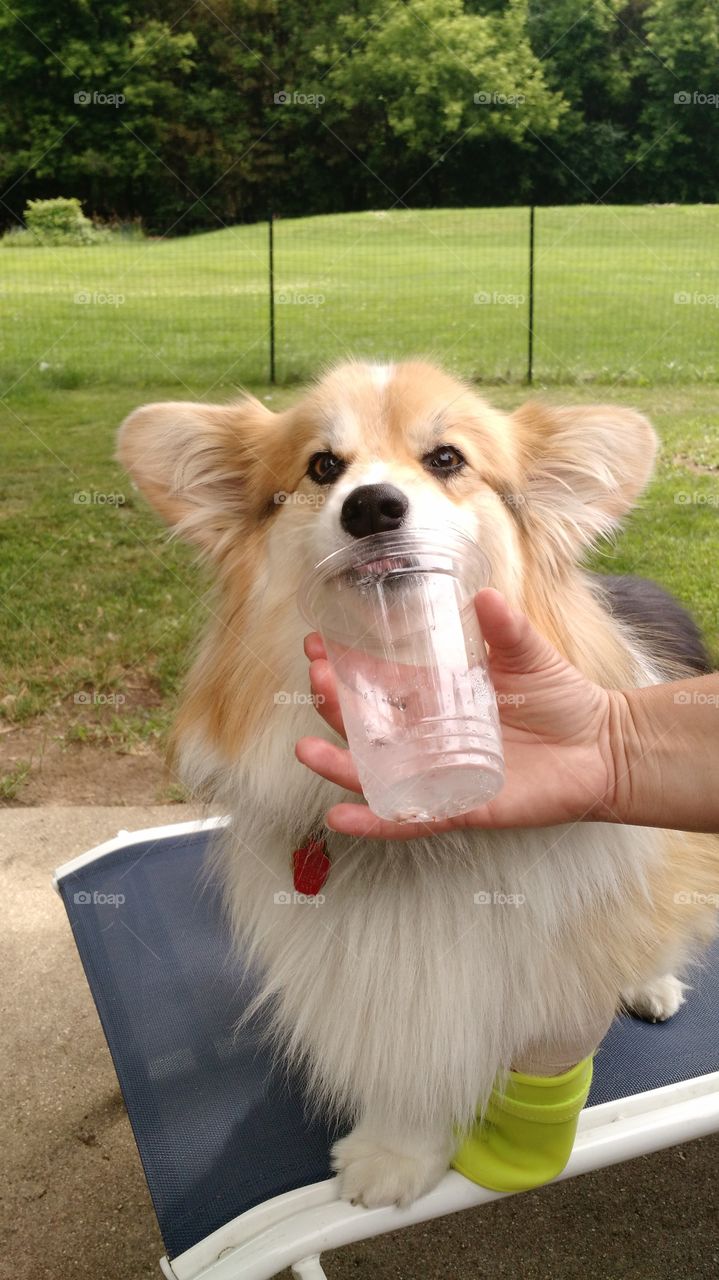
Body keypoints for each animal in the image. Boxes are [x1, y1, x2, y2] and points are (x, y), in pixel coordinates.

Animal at [118, 358, 716, 1208]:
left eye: (445, 459)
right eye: (321, 468)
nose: (370, 505)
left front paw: (513, 1148)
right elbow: (409, 1058)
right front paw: (397, 1153)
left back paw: (651, 981)